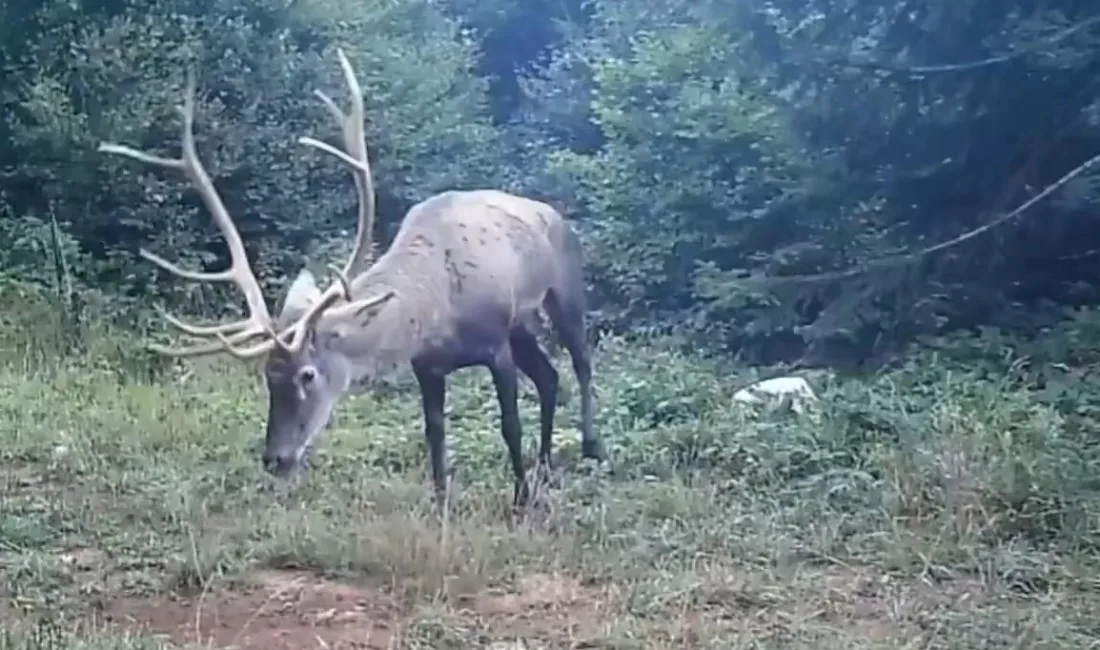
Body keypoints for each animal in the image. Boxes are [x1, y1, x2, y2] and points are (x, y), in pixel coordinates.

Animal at [97, 52, 607, 508]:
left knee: (580, 361)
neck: (435, 312)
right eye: (266, 376)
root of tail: (555, 214)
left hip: (564, 288)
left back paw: (589, 448)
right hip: (522, 325)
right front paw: (441, 503)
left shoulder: (495, 343)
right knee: (549, 377)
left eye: (307, 373)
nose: (275, 459)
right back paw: (546, 464)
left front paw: (521, 499)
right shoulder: (427, 365)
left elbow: (508, 425)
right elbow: (435, 433)